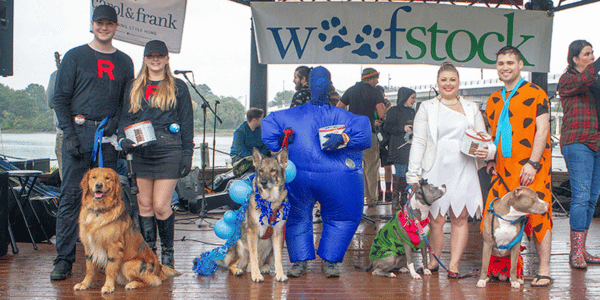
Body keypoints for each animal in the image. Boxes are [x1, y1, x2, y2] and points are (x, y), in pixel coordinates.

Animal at [217, 149, 290, 282]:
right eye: (261, 171)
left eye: (273, 170)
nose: (263, 182)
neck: (269, 202)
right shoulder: (253, 232)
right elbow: (254, 255)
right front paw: (256, 275)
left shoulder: (277, 234)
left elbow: (278, 259)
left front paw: (280, 274)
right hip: (241, 249)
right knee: (233, 265)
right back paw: (239, 270)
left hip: (269, 250)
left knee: (256, 264)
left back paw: (262, 268)